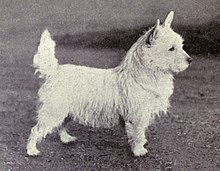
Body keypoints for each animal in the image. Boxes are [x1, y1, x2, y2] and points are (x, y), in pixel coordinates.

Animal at [27, 11, 191, 156]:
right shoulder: (136, 116)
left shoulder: (143, 114)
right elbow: (137, 133)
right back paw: (32, 150)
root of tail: (54, 72)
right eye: (171, 48)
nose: (190, 60)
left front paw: (142, 143)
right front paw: (139, 151)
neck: (145, 75)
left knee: (61, 125)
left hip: (64, 111)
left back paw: (67, 139)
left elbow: (141, 132)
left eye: (181, 45)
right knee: (36, 130)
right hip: (53, 111)